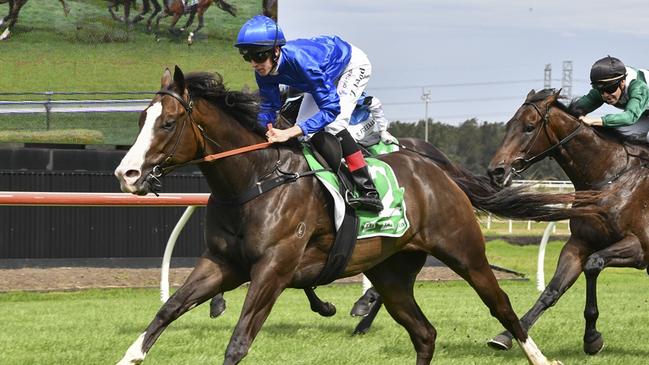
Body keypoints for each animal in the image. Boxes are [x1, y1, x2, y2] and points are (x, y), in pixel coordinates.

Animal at [114, 67, 604, 362]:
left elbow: (238, 341)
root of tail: (435, 169)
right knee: (424, 332)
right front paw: (130, 354)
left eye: (167, 123)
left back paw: (533, 353)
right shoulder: (222, 263)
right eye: (140, 119)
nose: (127, 173)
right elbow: (167, 310)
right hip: (391, 272)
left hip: (465, 252)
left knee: (501, 306)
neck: (255, 179)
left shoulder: (273, 268)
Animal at [486, 88, 648, 356]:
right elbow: (552, 290)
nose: (495, 171)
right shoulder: (578, 244)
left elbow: (593, 264)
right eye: (509, 125)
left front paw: (592, 337)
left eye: (529, 127)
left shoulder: (640, 249)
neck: (608, 178)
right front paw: (508, 335)